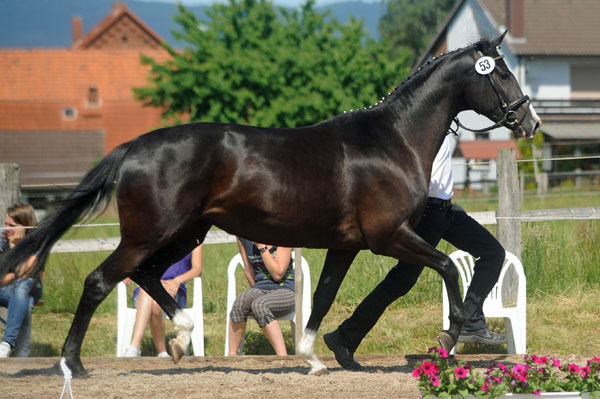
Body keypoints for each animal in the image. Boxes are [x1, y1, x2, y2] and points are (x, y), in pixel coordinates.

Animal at [1, 32, 540, 378]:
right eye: (502, 73)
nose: (530, 121)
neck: (393, 140)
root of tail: (133, 147)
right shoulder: (389, 238)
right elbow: (448, 267)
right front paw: (452, 338)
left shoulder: (346, 246)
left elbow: (321, 297)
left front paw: (314, 356)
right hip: (151, 233)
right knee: (101, 281)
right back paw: (75, 364)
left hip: (184, 232)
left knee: (146, 276)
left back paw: (180, 336)